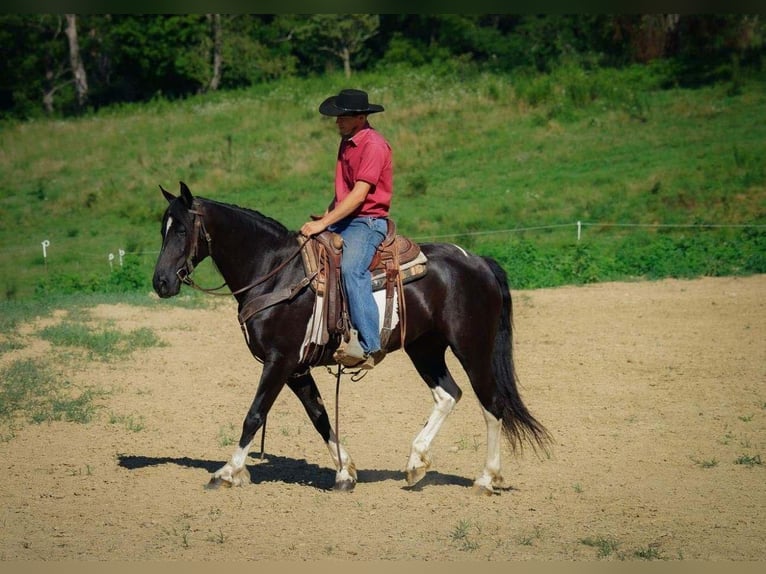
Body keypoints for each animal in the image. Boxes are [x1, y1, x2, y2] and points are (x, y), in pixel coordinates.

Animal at [152, 181, 552, 496]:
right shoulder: (297, 368)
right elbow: (320, 416)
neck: (276, 273)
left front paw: (226, 472)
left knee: (491, 404)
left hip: (472, 346)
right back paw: (415, 463)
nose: (161, 282)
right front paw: (345, 472)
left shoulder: (279, 361)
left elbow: (254, 414)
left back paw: (485, 478)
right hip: (424, 348)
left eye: (182, 230)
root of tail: (479, 261)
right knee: (448, 394)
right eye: (162, 229)